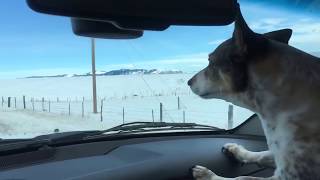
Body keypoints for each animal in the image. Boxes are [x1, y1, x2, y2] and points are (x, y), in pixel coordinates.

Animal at [188, 3, 320, 180]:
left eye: (210, 61)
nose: (188, 82)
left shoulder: (290, 173)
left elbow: (242, 178)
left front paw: (208, 174)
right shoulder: (280, 154)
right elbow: (263, 155)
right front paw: (237, 151)